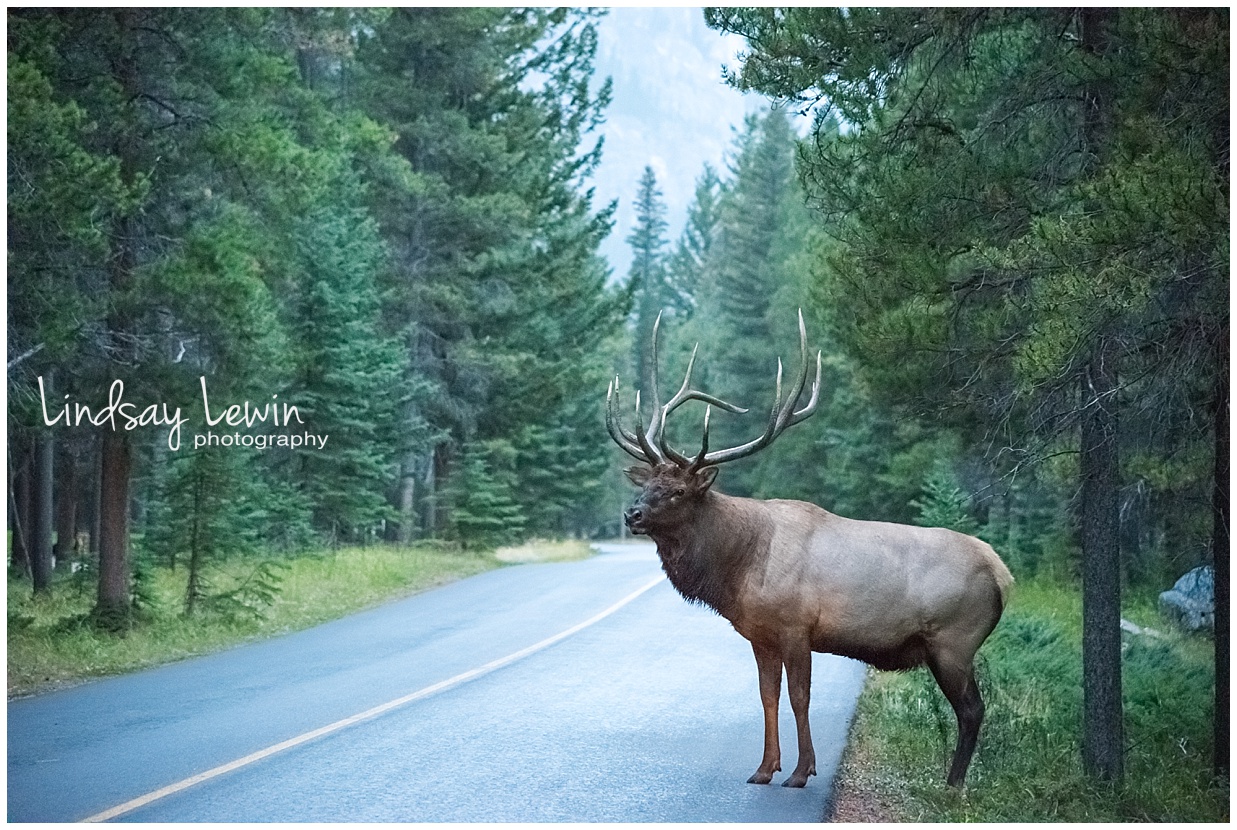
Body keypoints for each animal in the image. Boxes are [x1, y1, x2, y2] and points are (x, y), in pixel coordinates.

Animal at [606, 310, 1014, 786]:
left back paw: (952, 785)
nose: (631, 515)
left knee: (972, 710)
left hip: (954, 641)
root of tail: (1002, 573)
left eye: (677, 491)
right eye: (648, 484)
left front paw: (801, 772)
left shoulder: (797, 626)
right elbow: (767, 696)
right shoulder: (760, 634)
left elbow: (800, 698)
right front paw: (765, 768)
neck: (738, 568)